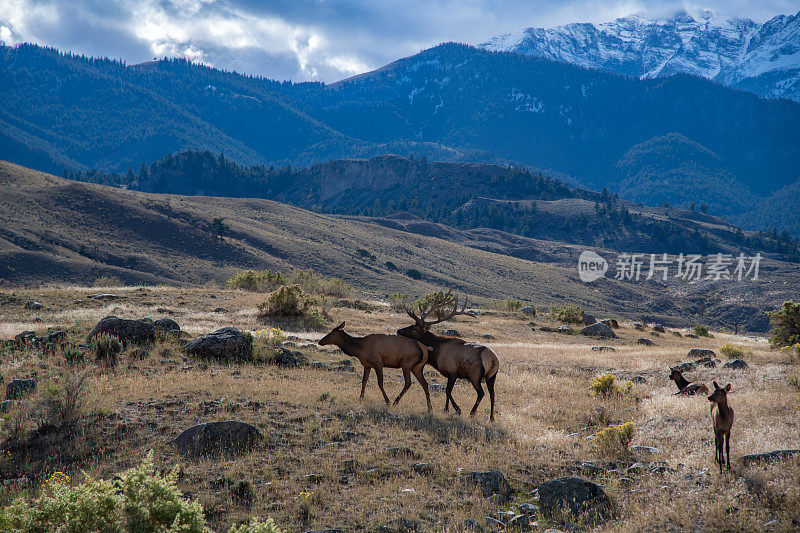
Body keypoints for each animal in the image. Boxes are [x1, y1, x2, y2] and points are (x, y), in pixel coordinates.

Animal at [396, 290, 496, 420]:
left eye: (415, 328)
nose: (399, 330)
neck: (436, 352)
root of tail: (493, 358)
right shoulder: (451, 374)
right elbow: (448, 391)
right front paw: (447, 409)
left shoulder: (452, 372)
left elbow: (447, 391)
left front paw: (455, 409)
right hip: (491, 377)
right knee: (492, 395)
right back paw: (491, 418)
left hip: (474, 375)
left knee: (481, 393)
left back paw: (472, 412)